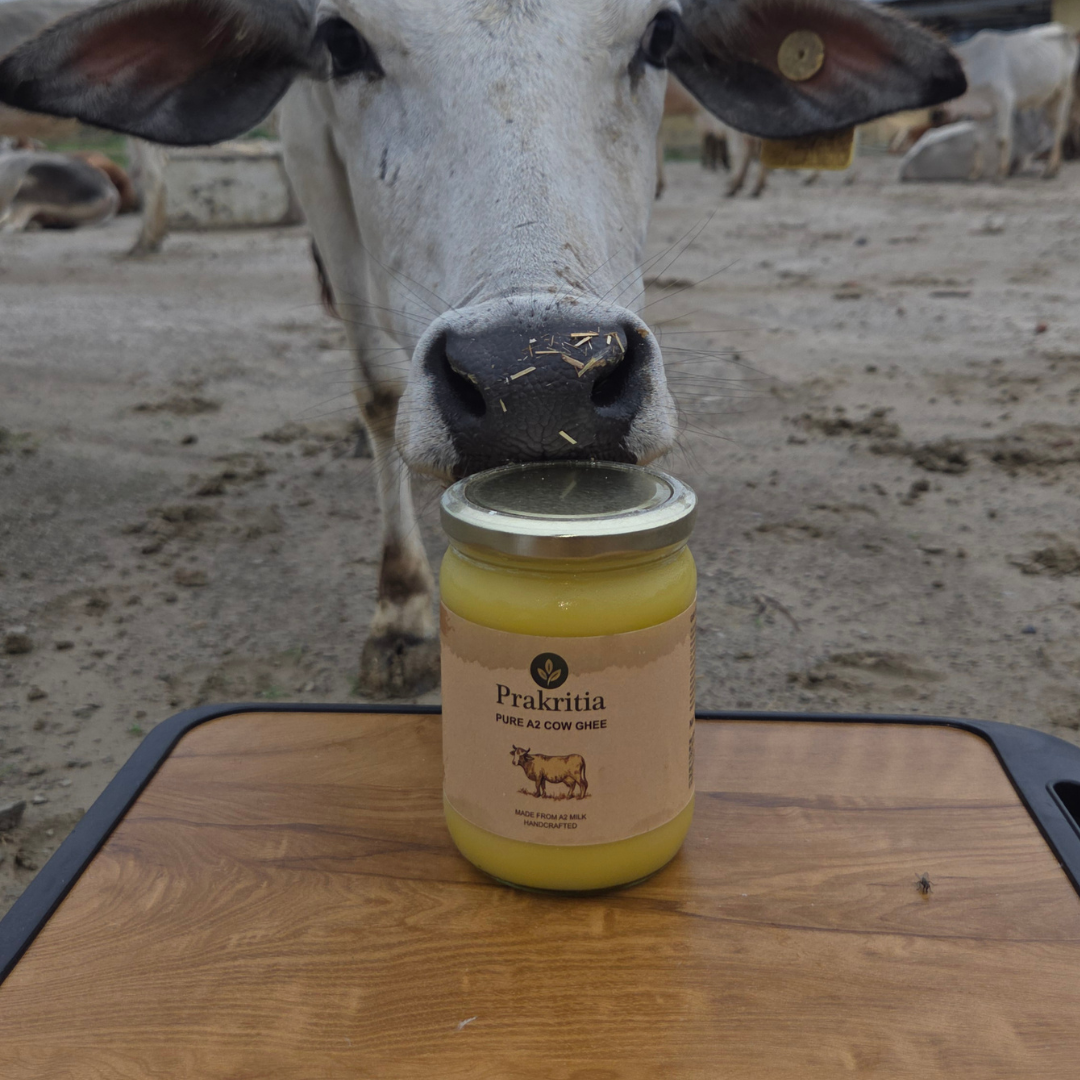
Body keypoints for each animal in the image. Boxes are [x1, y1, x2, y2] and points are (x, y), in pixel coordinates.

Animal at [0, 0, 965, 696]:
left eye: (660, 33)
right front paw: (401, 611)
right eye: (340, 39)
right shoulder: (310, 154)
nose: (538, 384)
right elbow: (379, 391)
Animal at [933, 23, 1078, 180]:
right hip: (1049, 99)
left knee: (1059, 127)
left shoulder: (1005, 101)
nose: (936, 115)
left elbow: (1002, 139)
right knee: (1052, 126)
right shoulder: (980, 113)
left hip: (1064, 91)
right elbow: (977, 142)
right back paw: (1056, 166)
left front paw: (1001, 173)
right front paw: (975, 173)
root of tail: (1062, 29)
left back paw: (1050, 169)